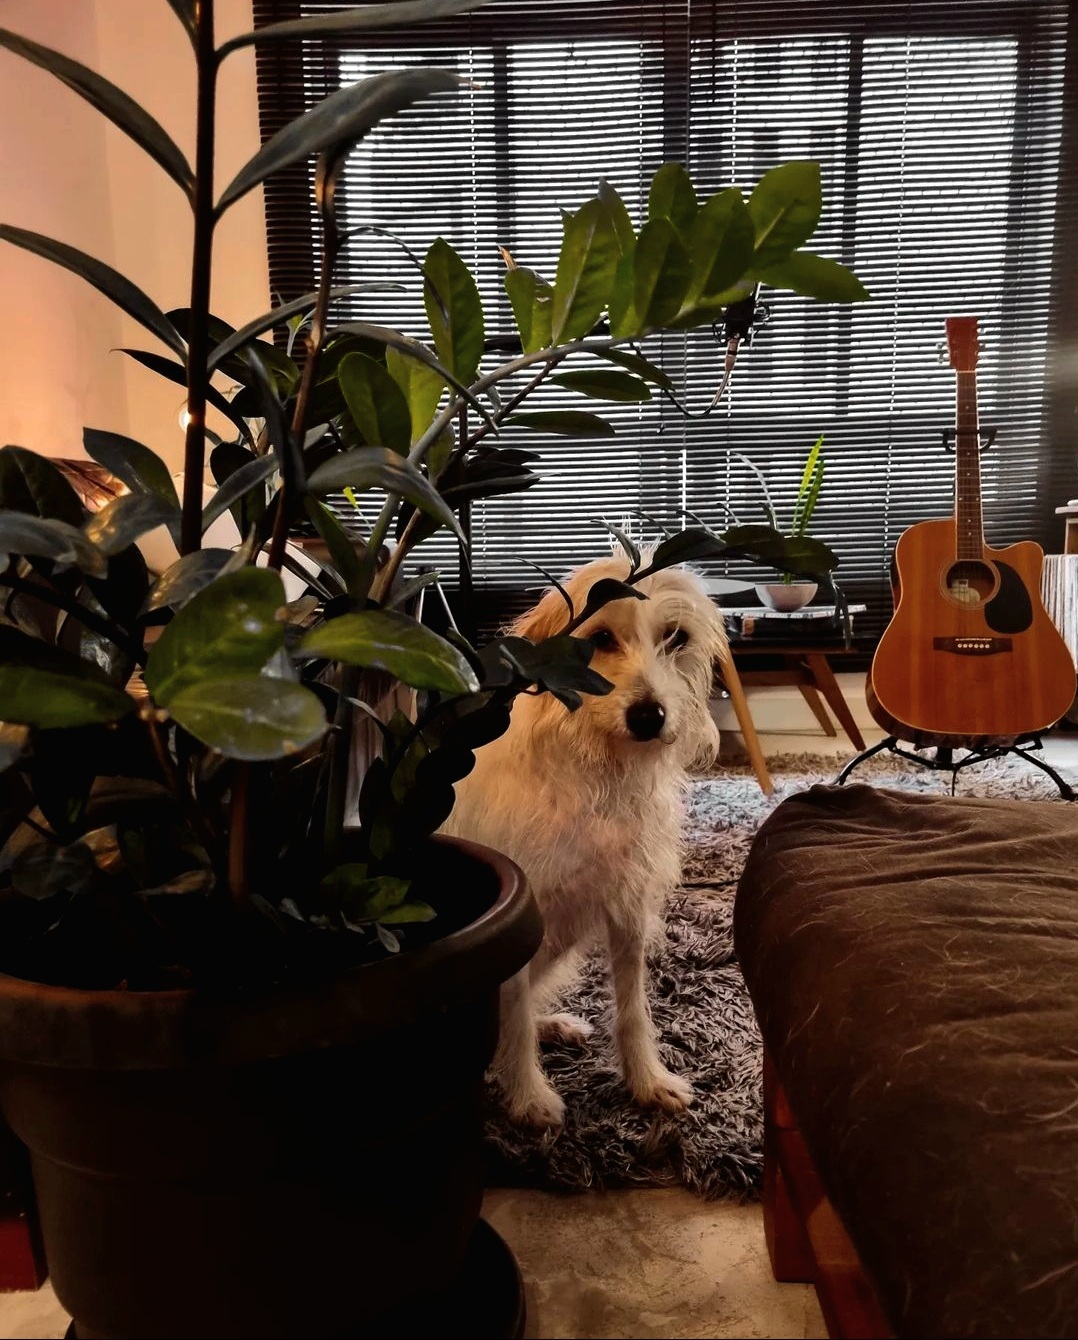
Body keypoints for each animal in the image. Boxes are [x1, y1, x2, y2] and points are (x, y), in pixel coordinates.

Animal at [442, 555, 730, 1127]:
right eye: (599, 638)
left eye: (676, 637)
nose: (649, 716)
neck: (595, 774)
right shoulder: (521, 916)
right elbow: (514, 1014)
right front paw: (527, 1094)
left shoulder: (629, 909)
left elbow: (632, 1009)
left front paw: (646, 1082)